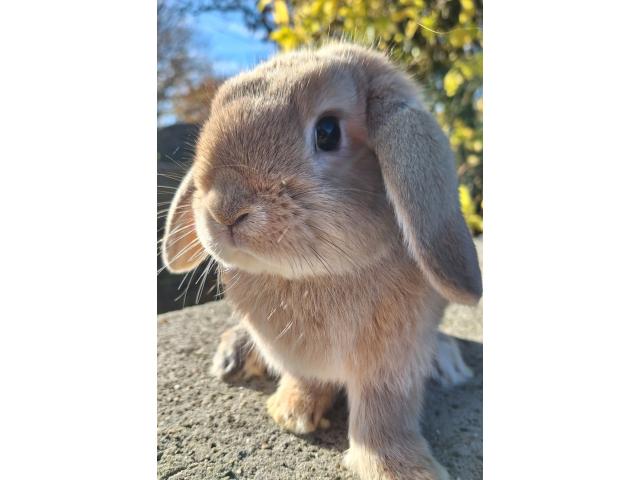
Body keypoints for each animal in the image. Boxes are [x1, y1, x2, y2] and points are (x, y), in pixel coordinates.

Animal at [161, 42, 482, 480]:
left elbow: (384, 412)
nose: (224, 209)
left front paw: (400, 469)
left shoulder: (392, 364)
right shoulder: (298, 359)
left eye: (328, 132)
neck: (313, 275)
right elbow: (306, 380)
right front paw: (292, 414)